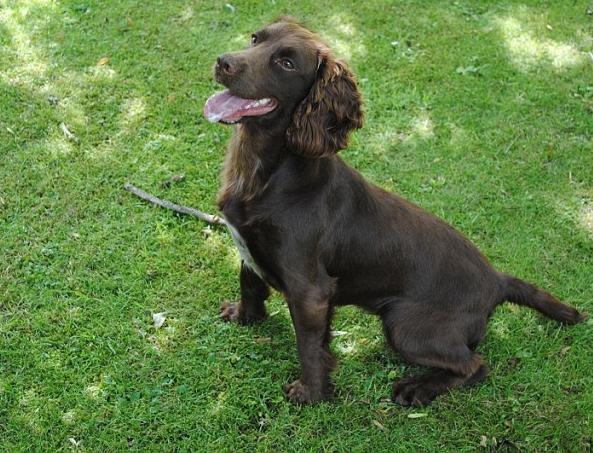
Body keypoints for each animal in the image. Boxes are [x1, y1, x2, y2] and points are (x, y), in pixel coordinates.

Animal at [204, 18, 584, 406]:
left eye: (287, 63)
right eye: (255, 38)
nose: (222, 62)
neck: (264, 173)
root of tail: (497, 280)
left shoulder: (310, 289)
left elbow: (307, 346)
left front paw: (310, 393)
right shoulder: (248, 248)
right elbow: (250, 283)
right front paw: (244, 317)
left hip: (404, 325)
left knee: (475, 365)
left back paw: (417, 388)